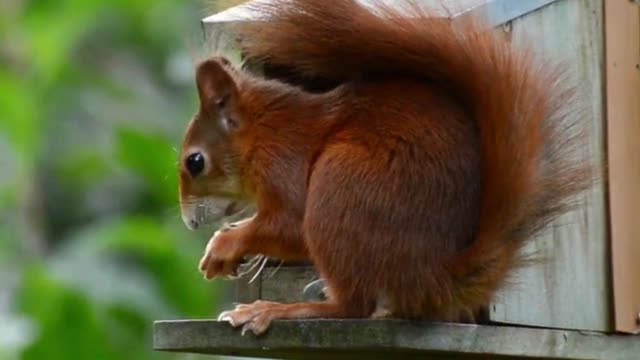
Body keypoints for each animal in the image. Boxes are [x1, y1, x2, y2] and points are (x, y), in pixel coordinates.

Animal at [175, 0, 592, 336]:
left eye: (195, 162)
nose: (189, 223)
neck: (263, 132)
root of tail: (434, 277)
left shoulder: (284, 162)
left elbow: (290, 224)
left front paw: (225, 244)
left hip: (339, 187)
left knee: (352, 306)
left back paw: (277, 310)